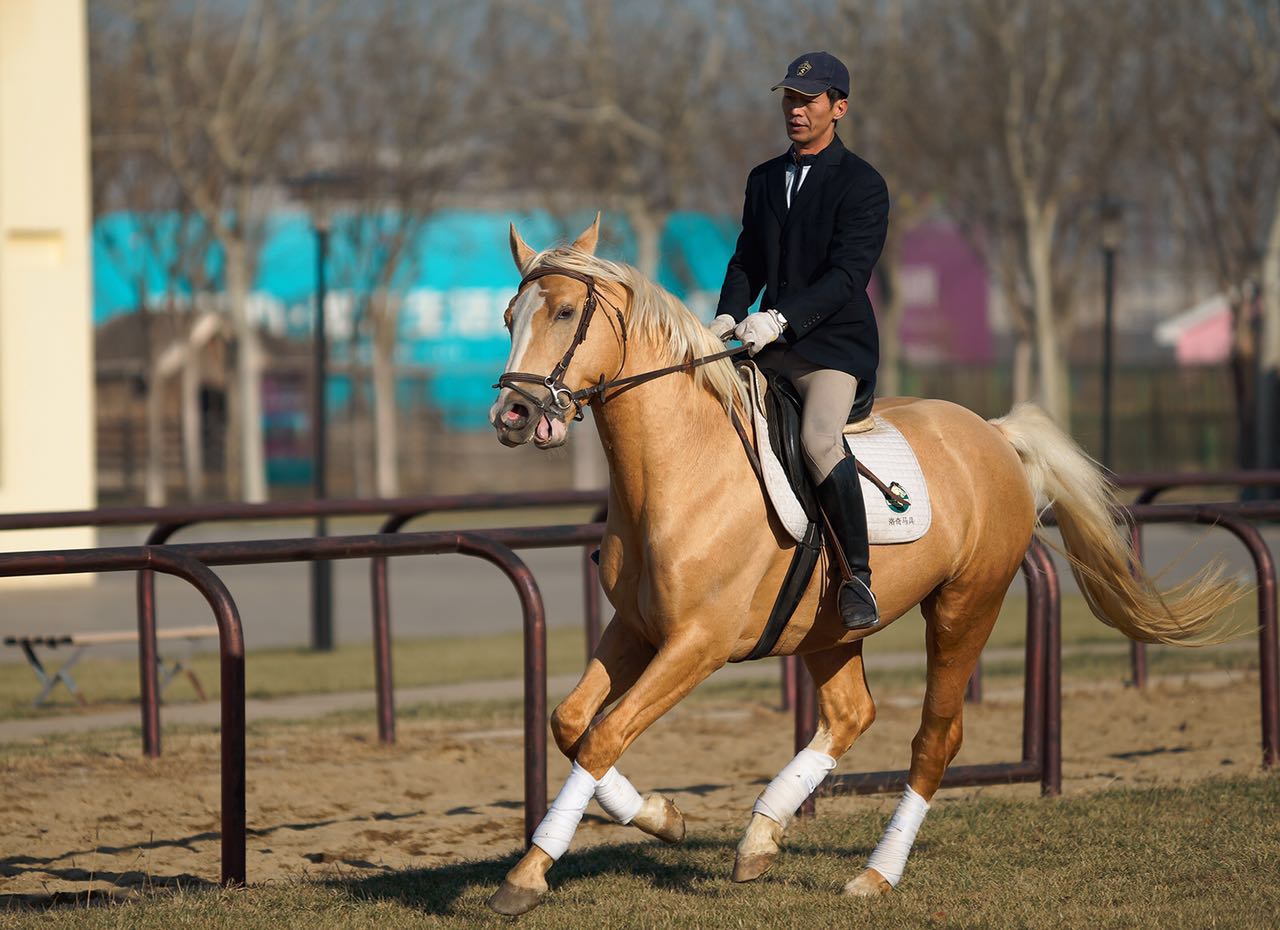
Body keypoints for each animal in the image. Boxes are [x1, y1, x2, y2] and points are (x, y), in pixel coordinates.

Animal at [483, 214, 1244, 910]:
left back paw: (876, 874)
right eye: (510, 316)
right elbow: (573, 725)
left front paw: (527, 874)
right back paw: (761, 836)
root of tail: (992, 434)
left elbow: (606, 733)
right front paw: (661, 819)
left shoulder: (697, 644)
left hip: (965, 609)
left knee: (934, 740)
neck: (683, 467)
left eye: (565, 312)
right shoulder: (638, 628)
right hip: (827, 630)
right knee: (852, 714)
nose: (513, 415)